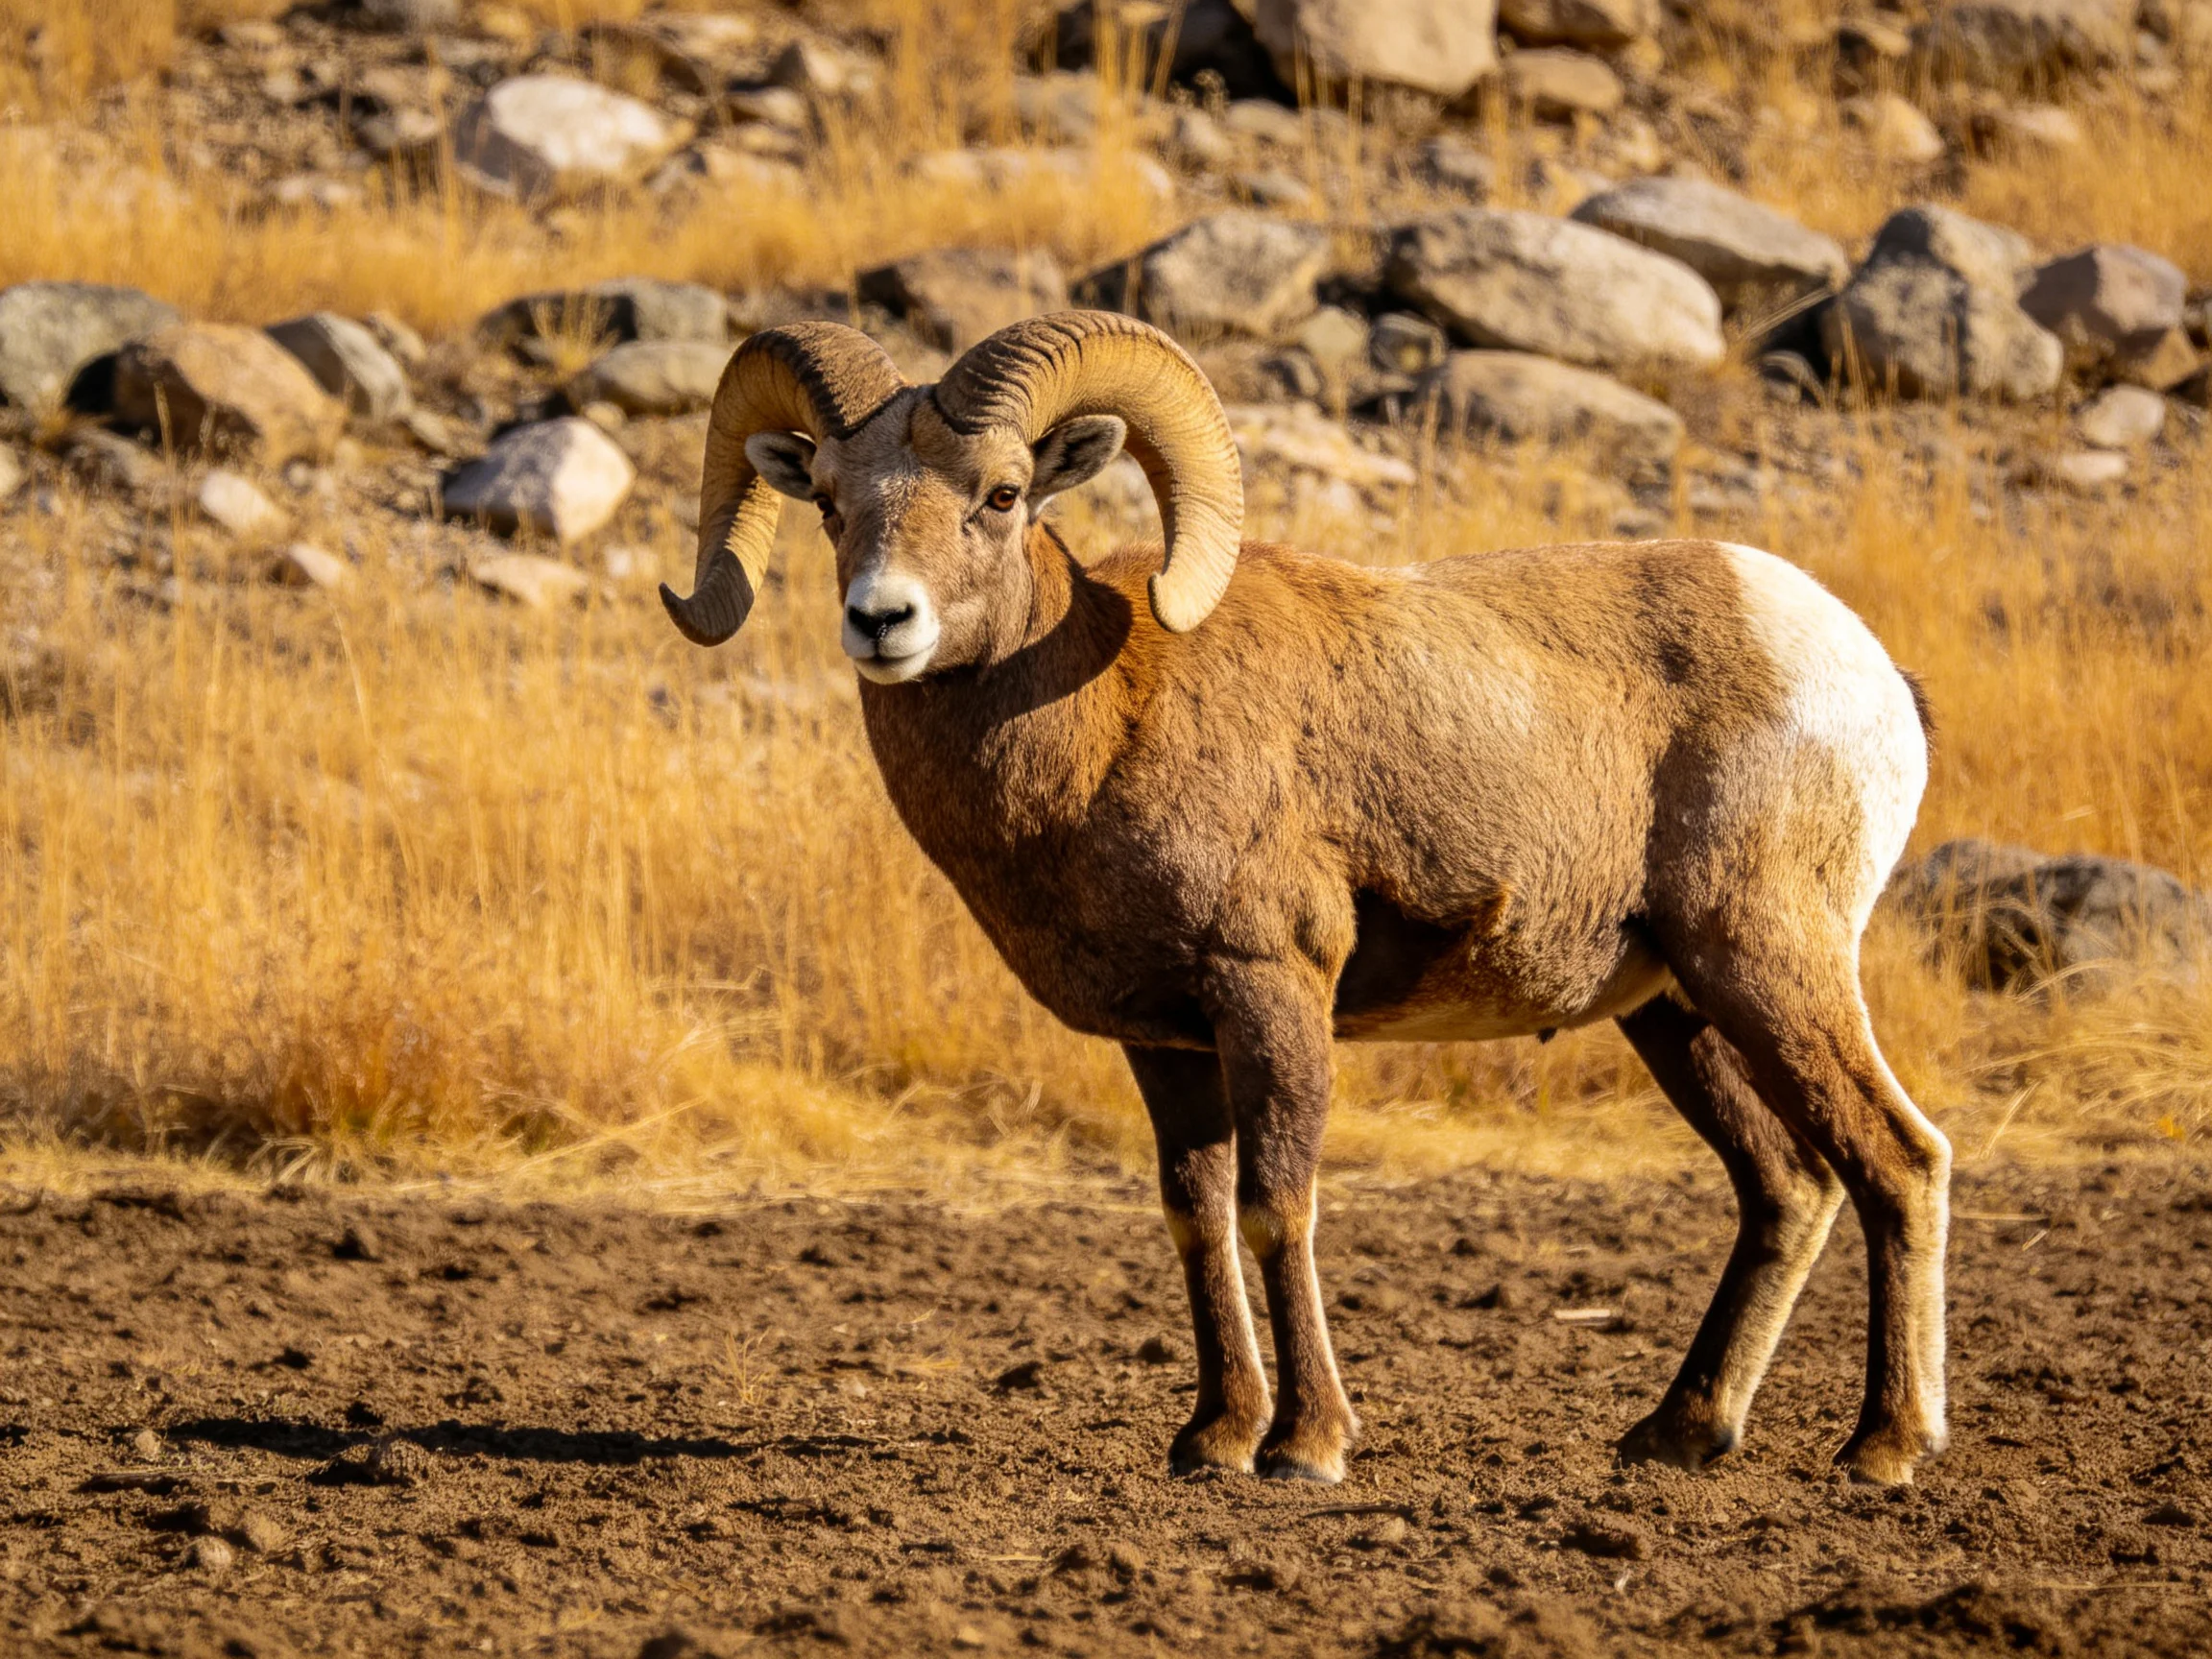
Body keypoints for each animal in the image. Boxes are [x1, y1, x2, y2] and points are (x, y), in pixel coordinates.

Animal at [662, 310, 1950, 1488]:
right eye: (831, 502)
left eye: (1003, 492)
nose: (883, 620)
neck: (1104, 715)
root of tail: (1868, 671)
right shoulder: (1165, 1043)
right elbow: (1195, 1217)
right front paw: (1211, 1440)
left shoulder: (1273, 994)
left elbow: (1278, 1208)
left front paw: (1306, 1447)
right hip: (1677, 1012)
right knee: (1789, 1188)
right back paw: (1679, 1435)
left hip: (1768, 966)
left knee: (1900, 1160)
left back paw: (1883, 1450)